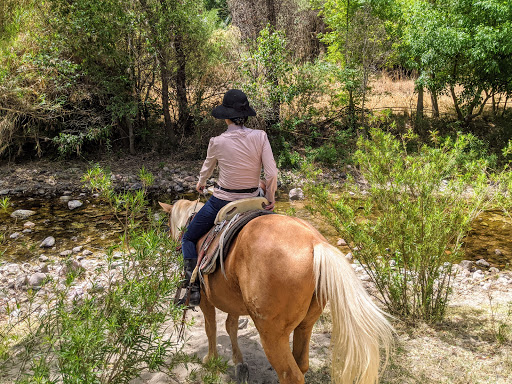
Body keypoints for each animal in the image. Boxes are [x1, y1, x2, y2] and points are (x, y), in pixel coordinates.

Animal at [160, 200, 392, 384]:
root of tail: (315, 243)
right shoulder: (232, 300)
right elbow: (231, 327)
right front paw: (238, 362)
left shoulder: (206, 300)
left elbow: (211, 328)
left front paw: (211, 359)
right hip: (306, 325)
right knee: (301, 364)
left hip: (271, 334)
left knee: (291, 375)